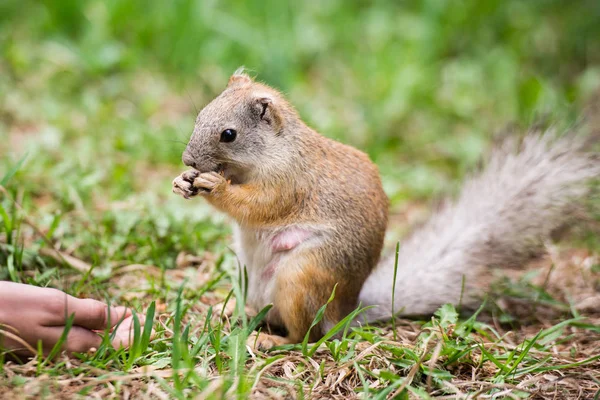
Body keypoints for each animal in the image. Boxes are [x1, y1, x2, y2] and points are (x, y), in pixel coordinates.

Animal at [173, 70, 600, 348]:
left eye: (229, 134)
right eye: (199, 115)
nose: (188, 159)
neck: (271, 153)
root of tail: (345, 313)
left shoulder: (289, 184)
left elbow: (255, 205)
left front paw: (212, 186)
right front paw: (183, 182)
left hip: (300, 279)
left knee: (306, 336)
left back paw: (273, 342)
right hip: (248, 275)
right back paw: (237, 314)